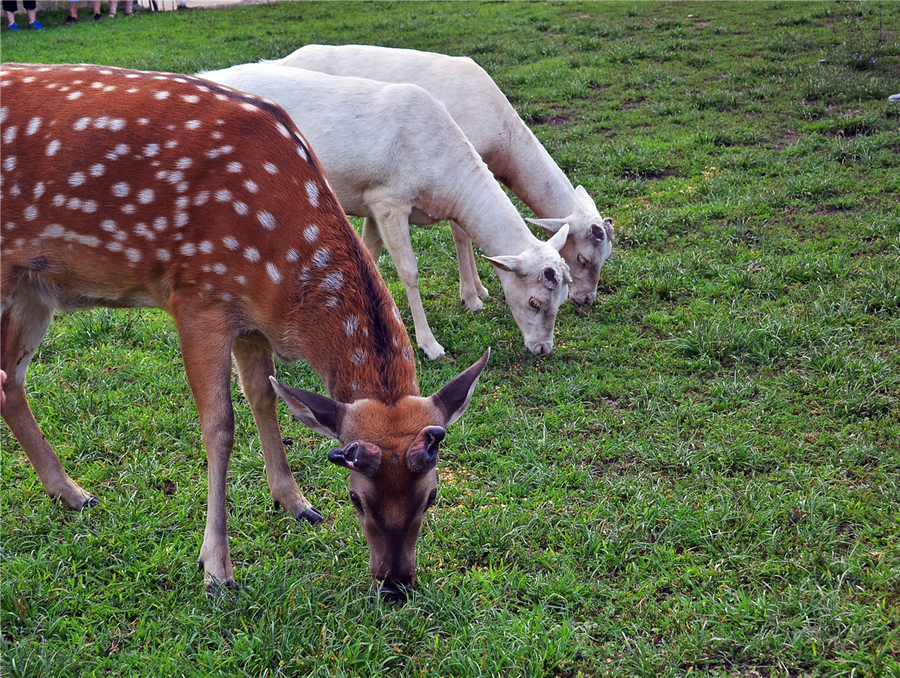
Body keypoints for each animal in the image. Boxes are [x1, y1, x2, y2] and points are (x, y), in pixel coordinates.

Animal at [1, 61, 492, 596]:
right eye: (356, 497)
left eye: (431, 496)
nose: (396, 585)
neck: (280, 276)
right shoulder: (198, 297)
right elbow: (220, 427)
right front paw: (215, 567)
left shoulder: (253, 322)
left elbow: (264, 398)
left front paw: (296, 503)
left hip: (33, 289)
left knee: (10, 381)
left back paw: (72, 493)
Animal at [201, 62, 572, 362]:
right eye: (535, 302)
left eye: (562, 301)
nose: (543, 349)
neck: (444, 177)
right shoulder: (389, 199)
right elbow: (409, 271)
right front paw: (431, 346)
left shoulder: (372, 204)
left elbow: (370, 256)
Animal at [278, 43, 616, 308]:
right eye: (583, 259)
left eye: (605, 258)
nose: (587, 300)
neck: (502, 138)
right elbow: (461, 233)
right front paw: (472, 297)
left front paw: (481, 291)